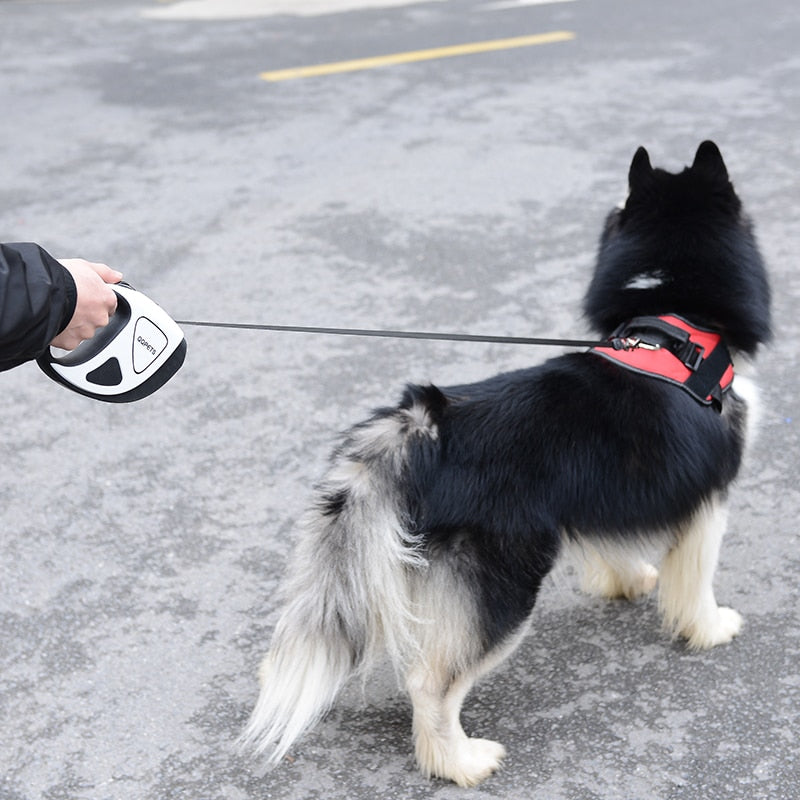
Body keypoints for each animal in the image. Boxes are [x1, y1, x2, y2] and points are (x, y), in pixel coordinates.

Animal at [241, 141, 772, 784]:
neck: (671, 320)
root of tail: (420, 427)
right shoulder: (708, 501)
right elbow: (696, 579)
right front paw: (710, 627)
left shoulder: (598, 499)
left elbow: (612, 547)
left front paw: (628, 582)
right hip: (503, 587)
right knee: (431, 683)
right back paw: (460, 762)